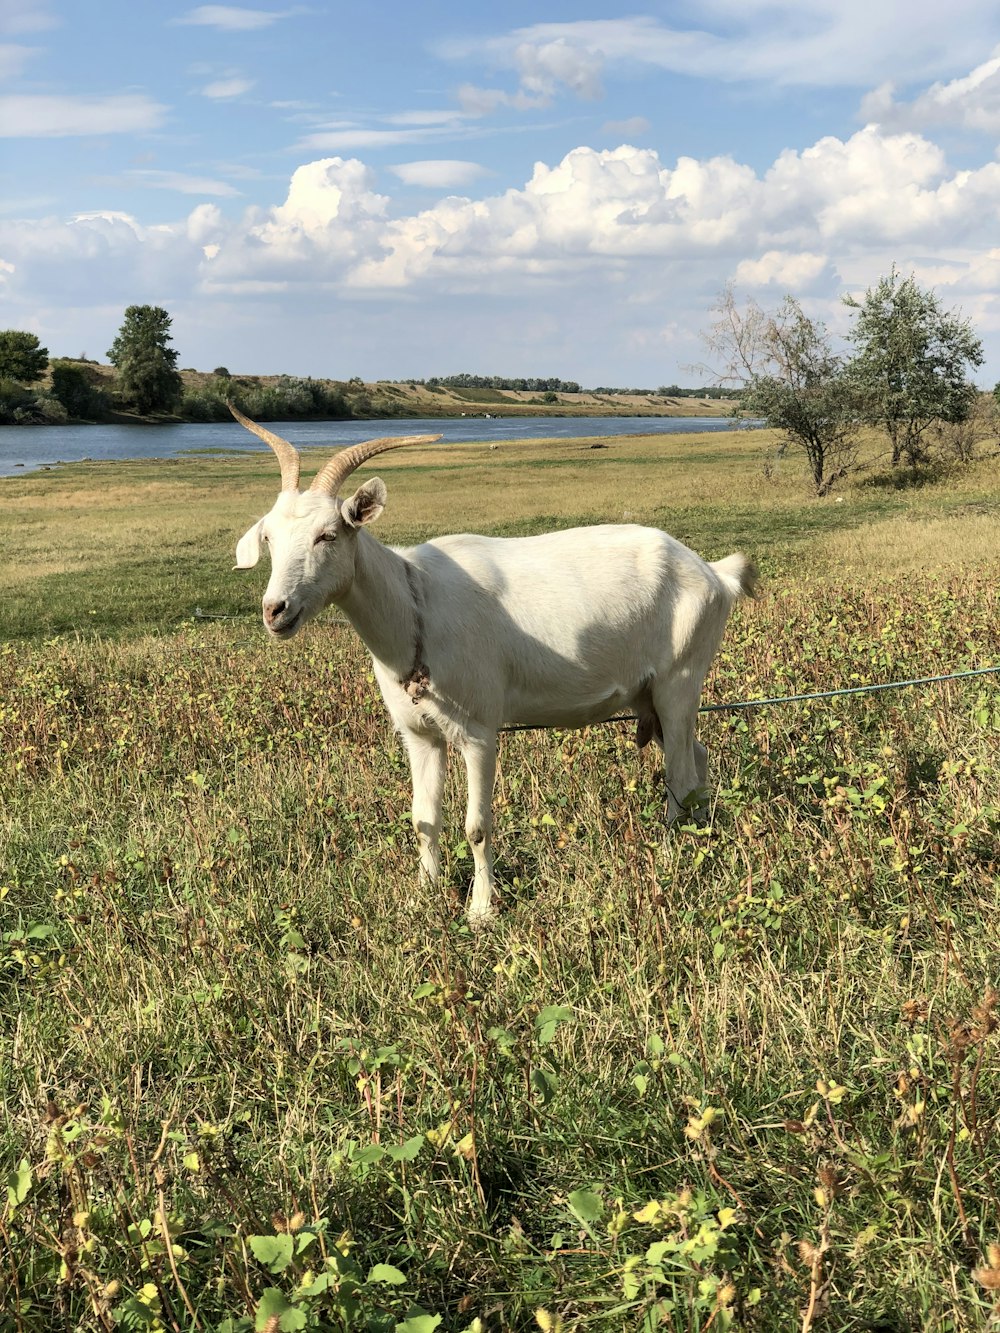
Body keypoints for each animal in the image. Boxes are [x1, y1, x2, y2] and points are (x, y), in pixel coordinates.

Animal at [230, 405, 757, 927]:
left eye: (328, 534)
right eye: (269, 537)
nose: (275, 610)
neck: (416, 605)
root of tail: (715, 574)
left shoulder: (479, 730)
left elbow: (477, 826)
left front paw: (481, 910)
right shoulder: (419, 733)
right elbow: (424, 819)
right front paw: (424, 895)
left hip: (680, 679)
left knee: (680, 774)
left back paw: (672, 851)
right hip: (649, 695)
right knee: (697, 757)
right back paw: (699, 834)